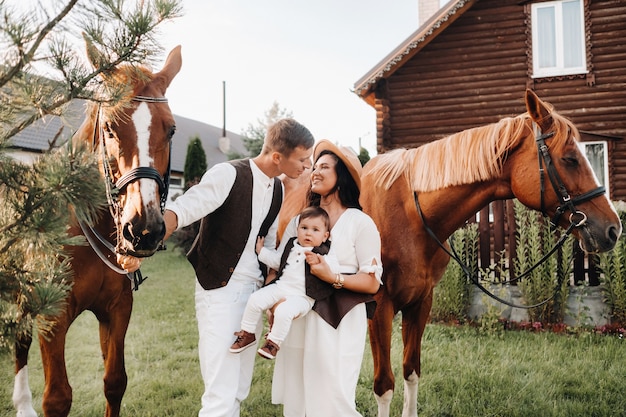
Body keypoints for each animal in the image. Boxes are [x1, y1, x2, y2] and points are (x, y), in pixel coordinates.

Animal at [11, 44, 180, 414]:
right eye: (110, 128)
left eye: (171, 129)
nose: (143, 229)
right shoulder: (52, 316)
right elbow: (57, 397)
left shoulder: (116, 310)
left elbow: (115, 382)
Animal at [356, 89, 620, 414]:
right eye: (570, 159)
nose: (613, 229)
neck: (407, 215)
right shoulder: (379, 308)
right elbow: (384, 386)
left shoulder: (421, 302)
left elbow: (411, 371)